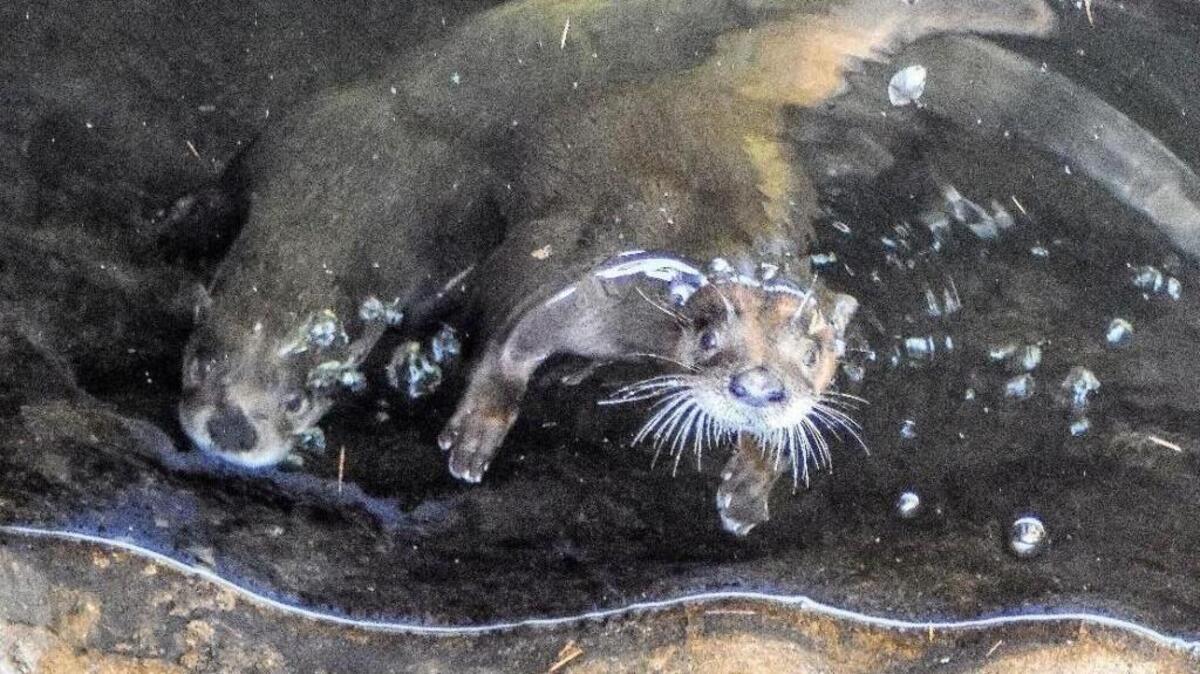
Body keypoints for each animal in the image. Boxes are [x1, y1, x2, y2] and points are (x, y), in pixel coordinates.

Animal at [182, 0, 1200, 532]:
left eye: (814, 354)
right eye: (195, 360)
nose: (233, 428)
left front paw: (750, 487)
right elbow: (512, 337)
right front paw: (473, 436)